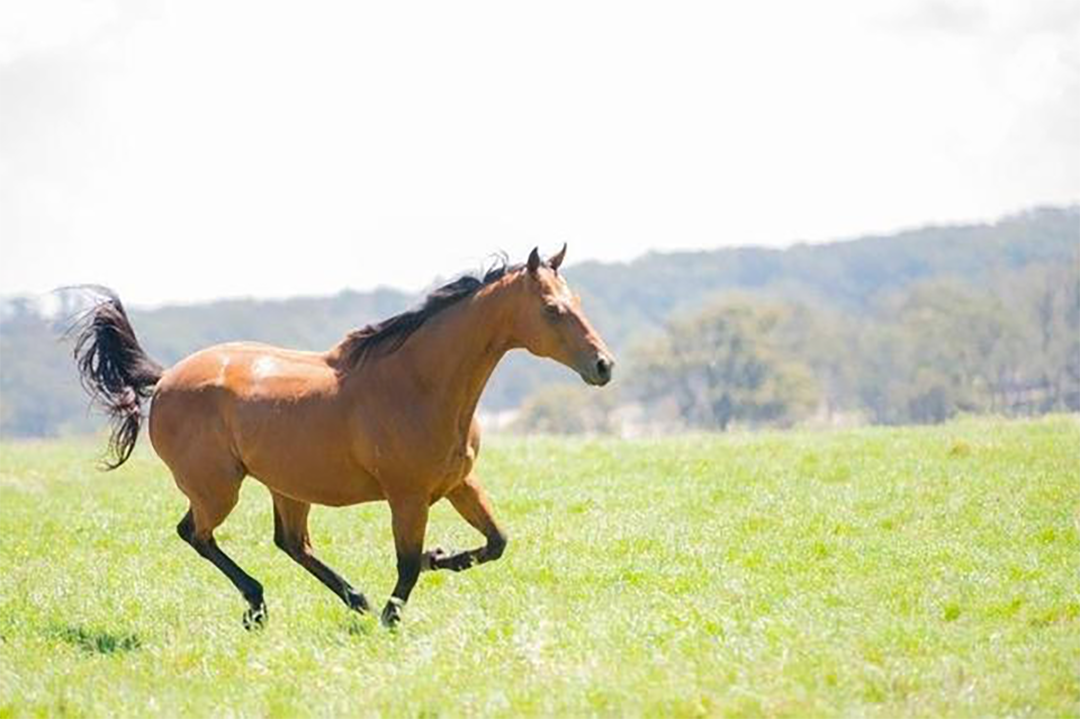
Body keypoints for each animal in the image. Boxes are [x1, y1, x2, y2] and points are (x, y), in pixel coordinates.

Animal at [70, 245, 615, 628]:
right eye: (551, 309)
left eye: (577, 302)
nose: (603, 366)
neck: (419, 384)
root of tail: (163, 380)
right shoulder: (407, 496)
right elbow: (408, 563)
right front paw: (394, 616)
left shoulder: (459, 484)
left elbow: (496, 541)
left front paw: (440, 559)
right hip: (217, 489)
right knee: (196, 534)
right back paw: (261, 604)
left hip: (286, 487)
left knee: (291, 543)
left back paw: (351, 599)